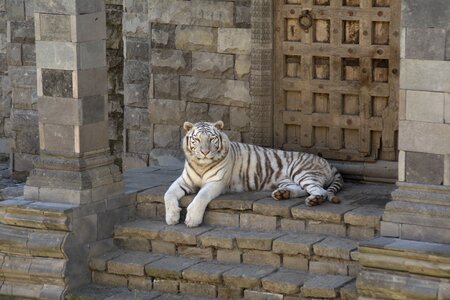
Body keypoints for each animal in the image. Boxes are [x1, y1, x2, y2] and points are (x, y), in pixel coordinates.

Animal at [163, 120, 342, 226]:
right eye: (197, 139)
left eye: (212, 139)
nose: (205, 152)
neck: (201, 164)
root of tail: (328, 162)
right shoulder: (184, 181)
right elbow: (168, 194)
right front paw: (171, 217)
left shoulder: (215, 183)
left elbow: (201, 196)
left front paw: (192, 219)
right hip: (287, 180)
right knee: (302, 189)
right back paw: (281, 194)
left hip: (301, 172)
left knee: (320, 191)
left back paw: (313, 200)